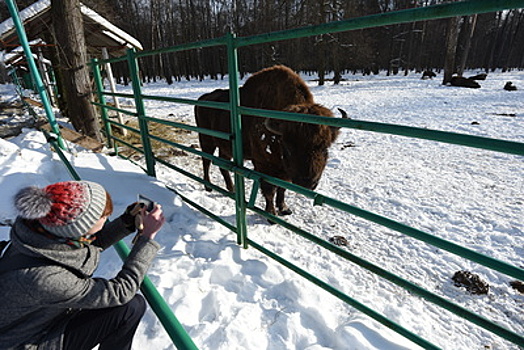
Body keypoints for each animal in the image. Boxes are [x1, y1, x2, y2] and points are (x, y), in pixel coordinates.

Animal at [194, 65, 346, 217]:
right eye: (288, 147)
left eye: (325, 147)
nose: (308, 182)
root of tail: (201, 100)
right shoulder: (264, 165)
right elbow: (270, 190)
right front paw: (271, 214)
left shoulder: (284, 170)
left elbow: (282, 188)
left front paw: (284, 208)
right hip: (206, 141)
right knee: (206, 161)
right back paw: (208, 186)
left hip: (225, 147)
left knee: (222, 164)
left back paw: (232, 189)